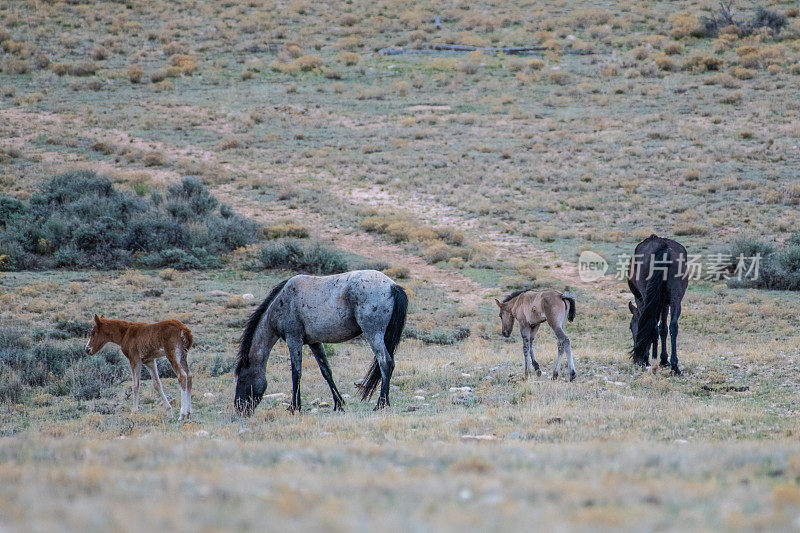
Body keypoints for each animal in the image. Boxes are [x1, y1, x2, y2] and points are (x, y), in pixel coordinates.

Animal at [231, 270, 406, 416]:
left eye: (242, 379)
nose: (239, 408)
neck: (282, 302)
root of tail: (392, 286)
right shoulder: (314, 342)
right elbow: (326, 371)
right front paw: (339, 404)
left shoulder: (293, 338)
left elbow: (296, 372)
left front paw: (294, 407)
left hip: (373, 333)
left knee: (385, 362)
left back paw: (381, 404)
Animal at [624, 233, 688, 374]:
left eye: (631, 327)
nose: (637, 360)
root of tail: (663, 247)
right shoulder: (665, 303)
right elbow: (663, 329)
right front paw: (664, 360)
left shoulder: (641, 300)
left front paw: (647, 359)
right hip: (676, 297)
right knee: (673, 325)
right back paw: (675, 366)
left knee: (652, 325)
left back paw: (653, 363)